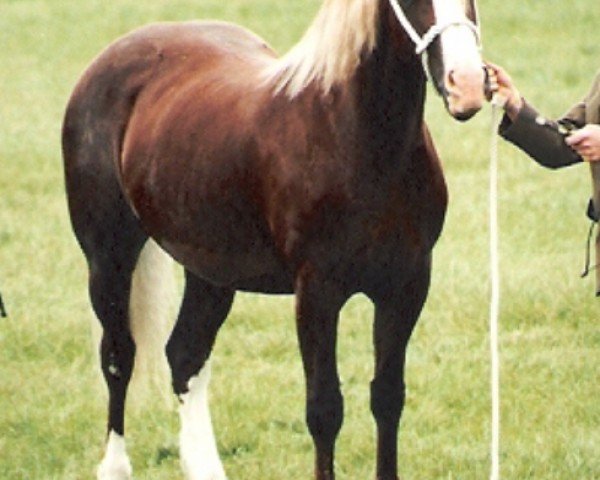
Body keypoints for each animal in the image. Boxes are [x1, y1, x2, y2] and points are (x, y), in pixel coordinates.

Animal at [62, 0, 482, 480]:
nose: (468, 85)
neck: (354, 138)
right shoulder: (317, 292)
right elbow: (325, 409)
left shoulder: (405, 287)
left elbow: (388, 398)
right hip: (108, 257)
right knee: (119, 357)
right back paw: (115, 466)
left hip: (211, 271)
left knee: (185, 355)